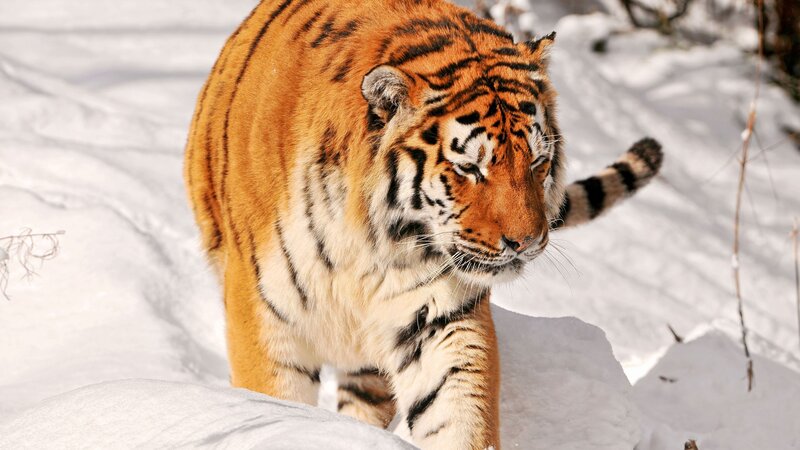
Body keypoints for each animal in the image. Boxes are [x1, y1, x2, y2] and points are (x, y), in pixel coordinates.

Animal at [184, 0, 663, 448]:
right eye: (470, 168)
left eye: (538, 162)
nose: (527, 242)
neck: (364, 241)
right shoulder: (265, 318)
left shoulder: (438, 317)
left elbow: (458, 412)